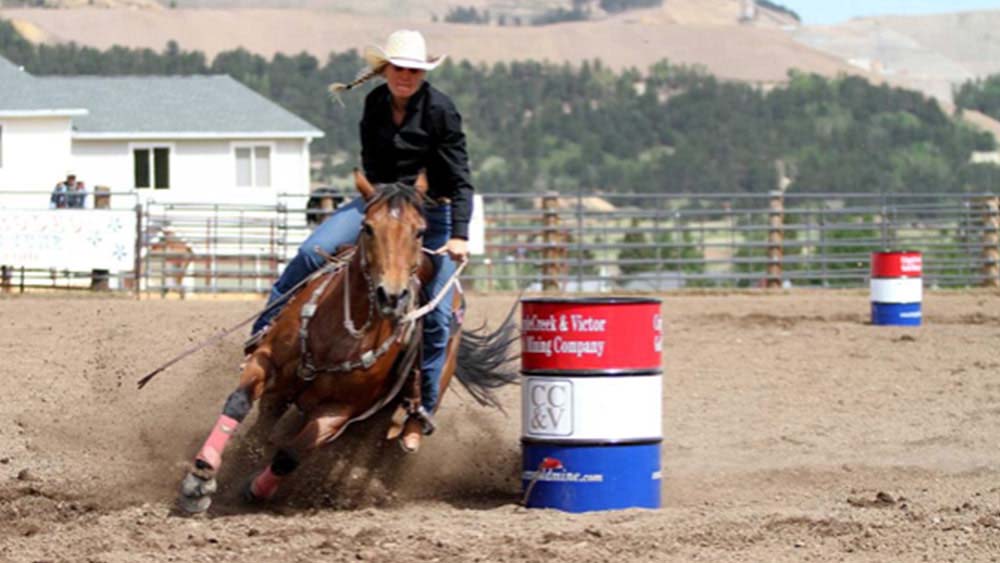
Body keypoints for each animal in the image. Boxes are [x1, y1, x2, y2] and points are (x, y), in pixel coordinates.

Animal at [177, 170, 517, 513]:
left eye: (420, 232)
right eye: (368, 227)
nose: (391, 296)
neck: (336, 335)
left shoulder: (339, 411)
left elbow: (290, 454)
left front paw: (253, 489)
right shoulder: (267, 361)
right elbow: (239, 403)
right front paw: (201, 475)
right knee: (264, 424)